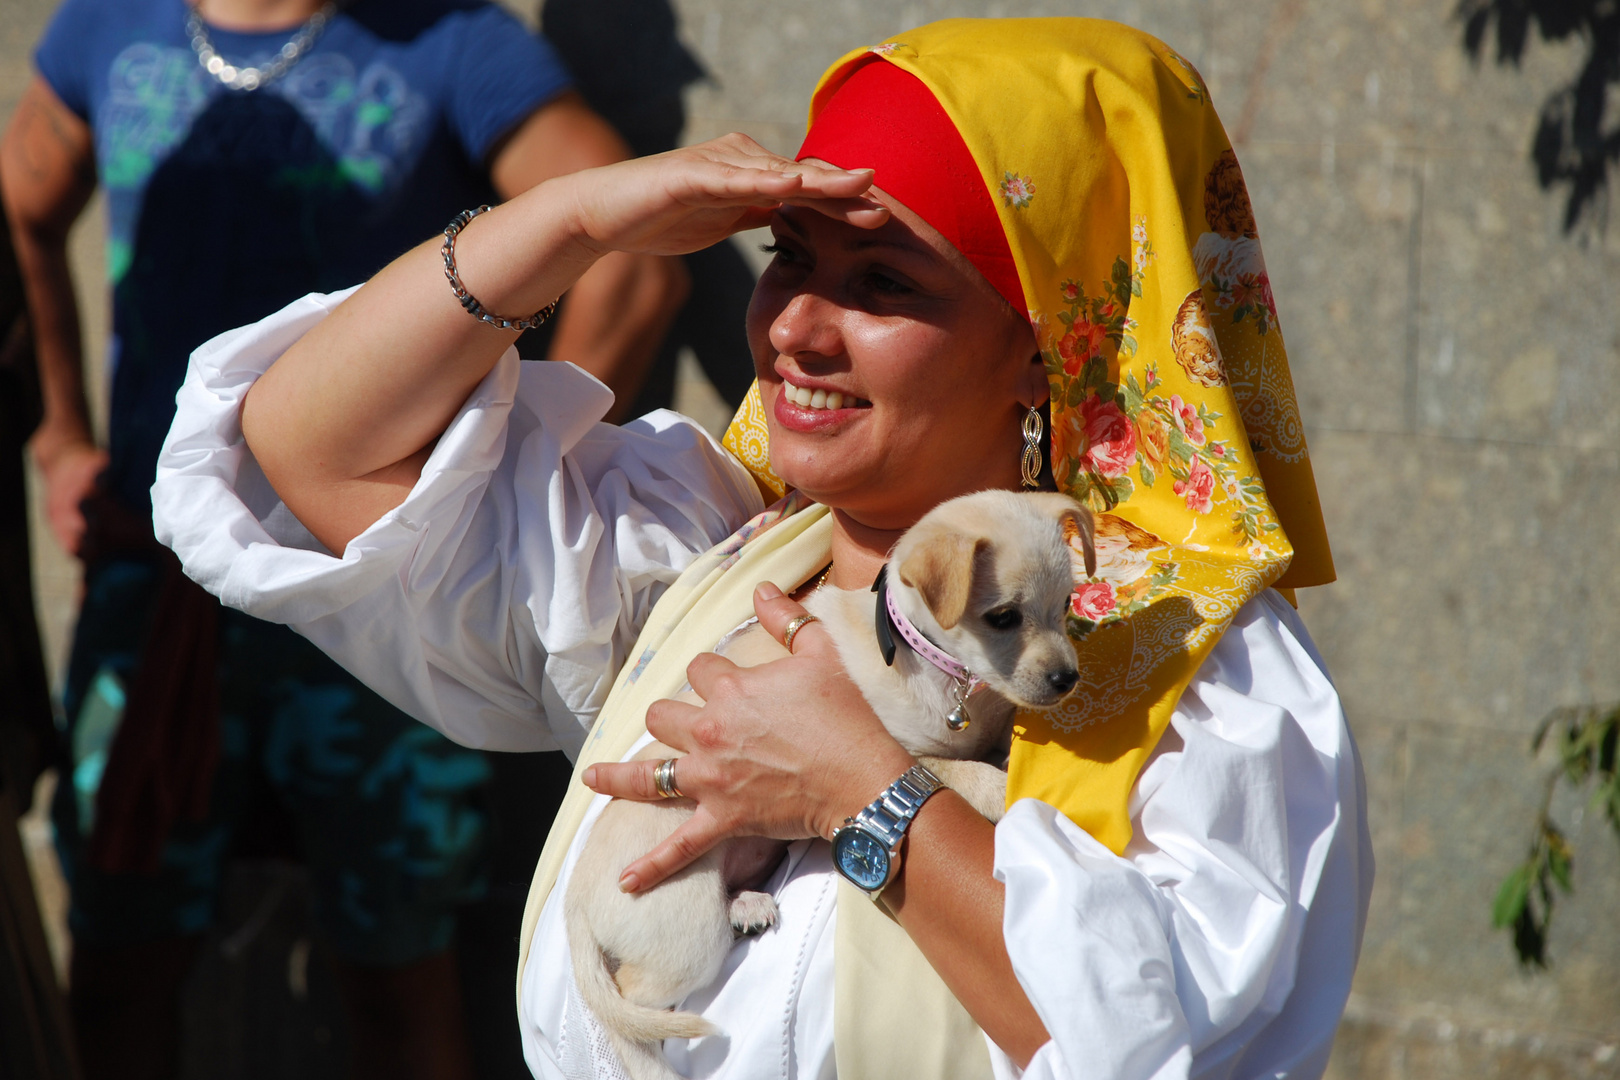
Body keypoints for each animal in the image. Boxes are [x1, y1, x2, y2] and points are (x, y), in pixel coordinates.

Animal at [563, 492, 1095, 1080]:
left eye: (1066, 604)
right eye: (1003, 618)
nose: (1068, 680)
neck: (932, 664)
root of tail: (575, 904)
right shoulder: (905, 748)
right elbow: (959, 770)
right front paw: (1003, 791)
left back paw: (746, 905)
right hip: (685, 928)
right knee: (628, 1002)